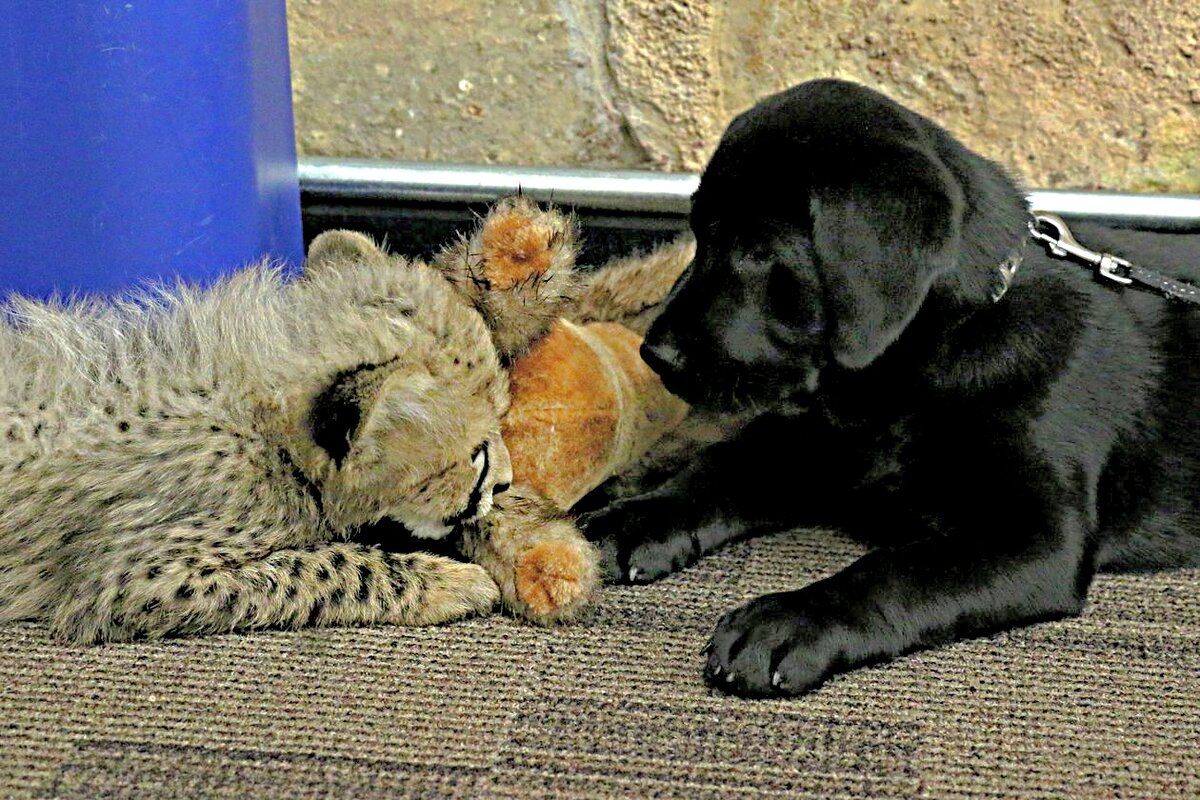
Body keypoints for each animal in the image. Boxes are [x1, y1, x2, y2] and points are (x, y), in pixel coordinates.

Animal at [576, 77, 1195, 695]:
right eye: (701, 235)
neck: (916, 375)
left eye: (758, 252)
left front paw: (787, 620)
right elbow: (721, 466)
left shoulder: (1037, 537)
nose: (653, 353)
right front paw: (634, 515)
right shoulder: (816, 443)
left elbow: (895, 569)